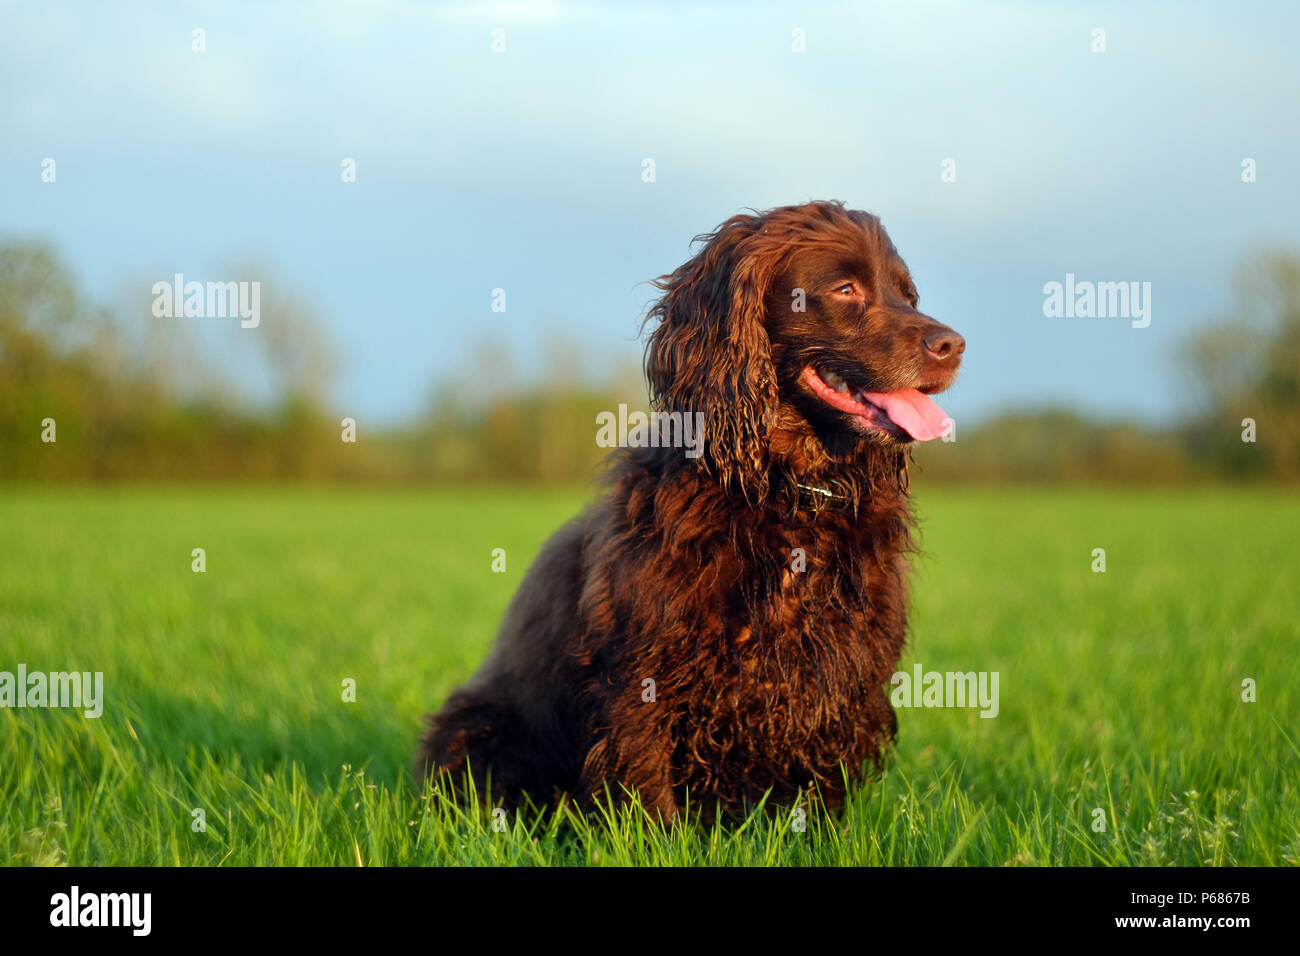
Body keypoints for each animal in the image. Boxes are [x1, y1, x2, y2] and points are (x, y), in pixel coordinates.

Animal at [416, 197, 967, 816]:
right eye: (846, 289)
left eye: (908, 295)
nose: (954, 345)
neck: (784, 493)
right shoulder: (643, 672)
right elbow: (644, 786)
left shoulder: (843, 675)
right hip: (477, 725)